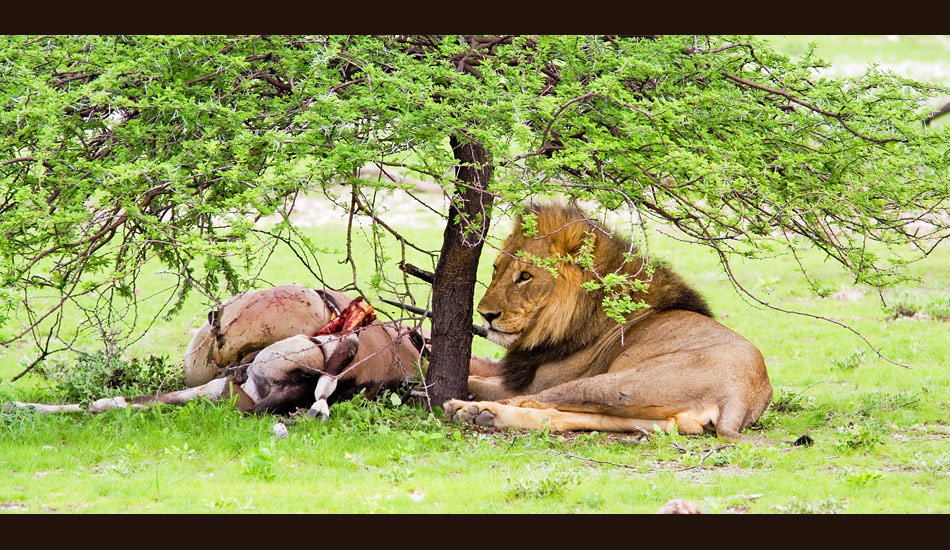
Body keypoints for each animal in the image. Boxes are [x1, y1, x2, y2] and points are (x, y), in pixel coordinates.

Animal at [446, 204, 772, 444]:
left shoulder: (537, 380)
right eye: (496, 269)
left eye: (525, 276)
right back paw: (481, 415)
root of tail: (741, 395)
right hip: (642, 410)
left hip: (617, 384)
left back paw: (471, 409)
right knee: (567, 415)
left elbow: (482, 381)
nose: (485, 315)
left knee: (531, 401)